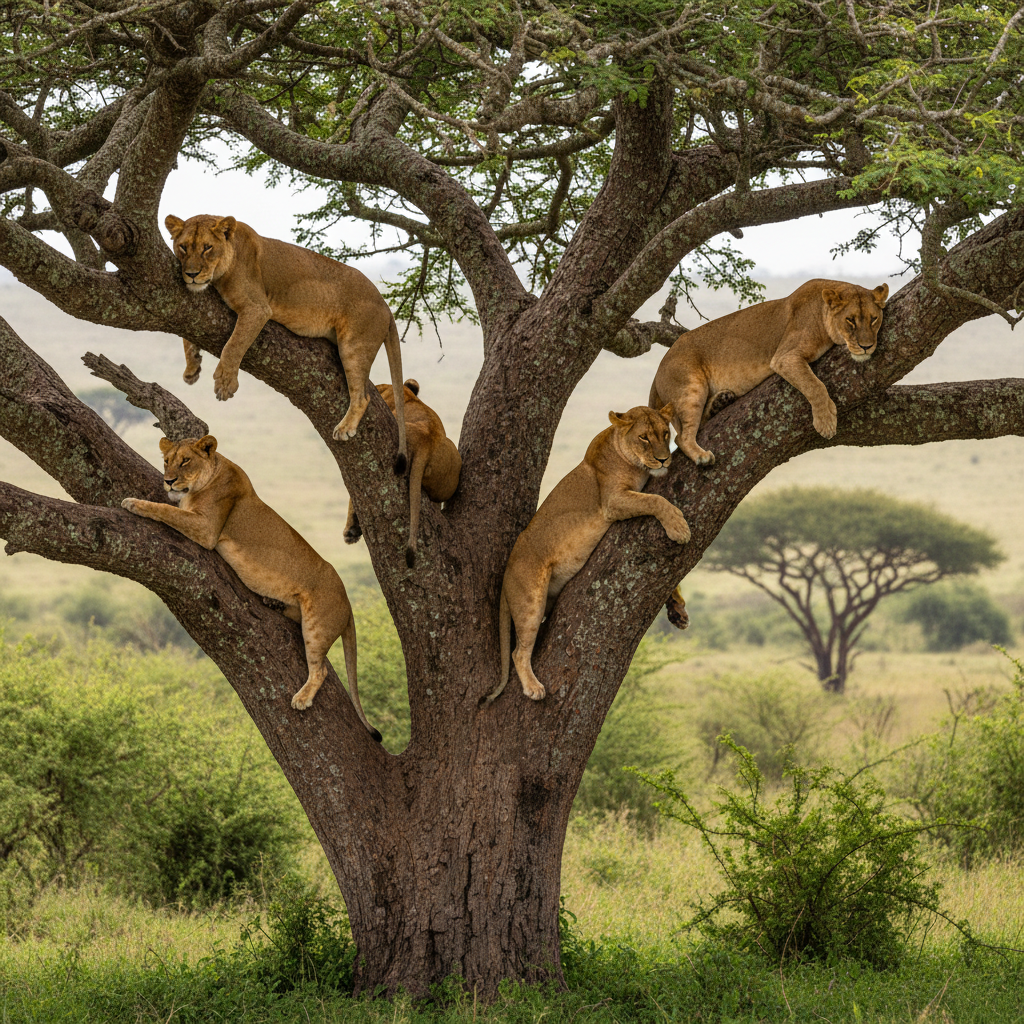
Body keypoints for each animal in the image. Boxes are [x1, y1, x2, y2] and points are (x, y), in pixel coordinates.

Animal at [122, 435, 380, 738]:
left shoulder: (207, 529)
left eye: (185, 461)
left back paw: (302, 698)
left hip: (317, 625)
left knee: (320, 671)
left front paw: (133, 502)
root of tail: (348, 602)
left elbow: (165, 509)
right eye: (166, 461)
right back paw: (273, 603)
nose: (169, 481)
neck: (211, 475)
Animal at [164, 214, 408, 473]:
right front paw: (192, 367)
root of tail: (385, 305)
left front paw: (225, 383)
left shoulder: (257, 308)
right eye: (183, 247)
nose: (191, 274)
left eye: (207, 248)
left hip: (353, 346)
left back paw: (345, 428)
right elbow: (190, 330)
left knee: (362, 397)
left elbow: (233, 345)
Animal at [484, 405, 690, 704]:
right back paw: (533, 687)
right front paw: (679, 528)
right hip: (530, 599)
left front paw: (678, 608)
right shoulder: (613, 501)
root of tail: (507, 571)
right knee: (517, 652)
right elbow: (656, 500)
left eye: (666, 433)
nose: (664, 460)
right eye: (644, 437)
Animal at [649, 279, 889, 466]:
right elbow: (815, 385)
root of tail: (659, 368)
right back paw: (702, 456)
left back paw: (721, 401)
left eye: (873, 319)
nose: (866, 346)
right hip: (690, 387)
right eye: (850, 320)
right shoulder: (785, 357)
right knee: (681, 437)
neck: (822, 312)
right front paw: (826, 422)